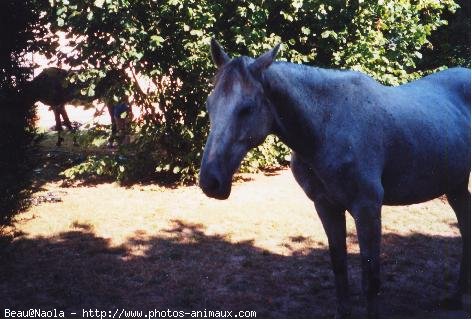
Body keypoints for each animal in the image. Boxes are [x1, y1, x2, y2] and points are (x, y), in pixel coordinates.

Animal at [198, 39, 468, 318]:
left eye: (247, 108)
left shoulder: (367, 209)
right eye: (209, 104)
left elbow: (370, 279)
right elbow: (339, 267)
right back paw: (456, 296)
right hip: (456, 186)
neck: (327, 129)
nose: (210, 182)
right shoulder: (326, 206)